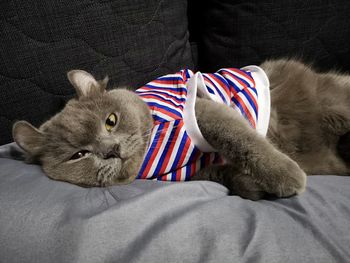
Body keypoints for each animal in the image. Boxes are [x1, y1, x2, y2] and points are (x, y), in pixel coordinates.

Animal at [13, 58, 348, 201]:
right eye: (79, 155)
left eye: (111, 121)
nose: (111, 150)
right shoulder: (194, 173)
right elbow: (225, 171)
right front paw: (253, 186)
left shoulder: (200, 110)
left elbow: (240, 137)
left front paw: (286, 177)